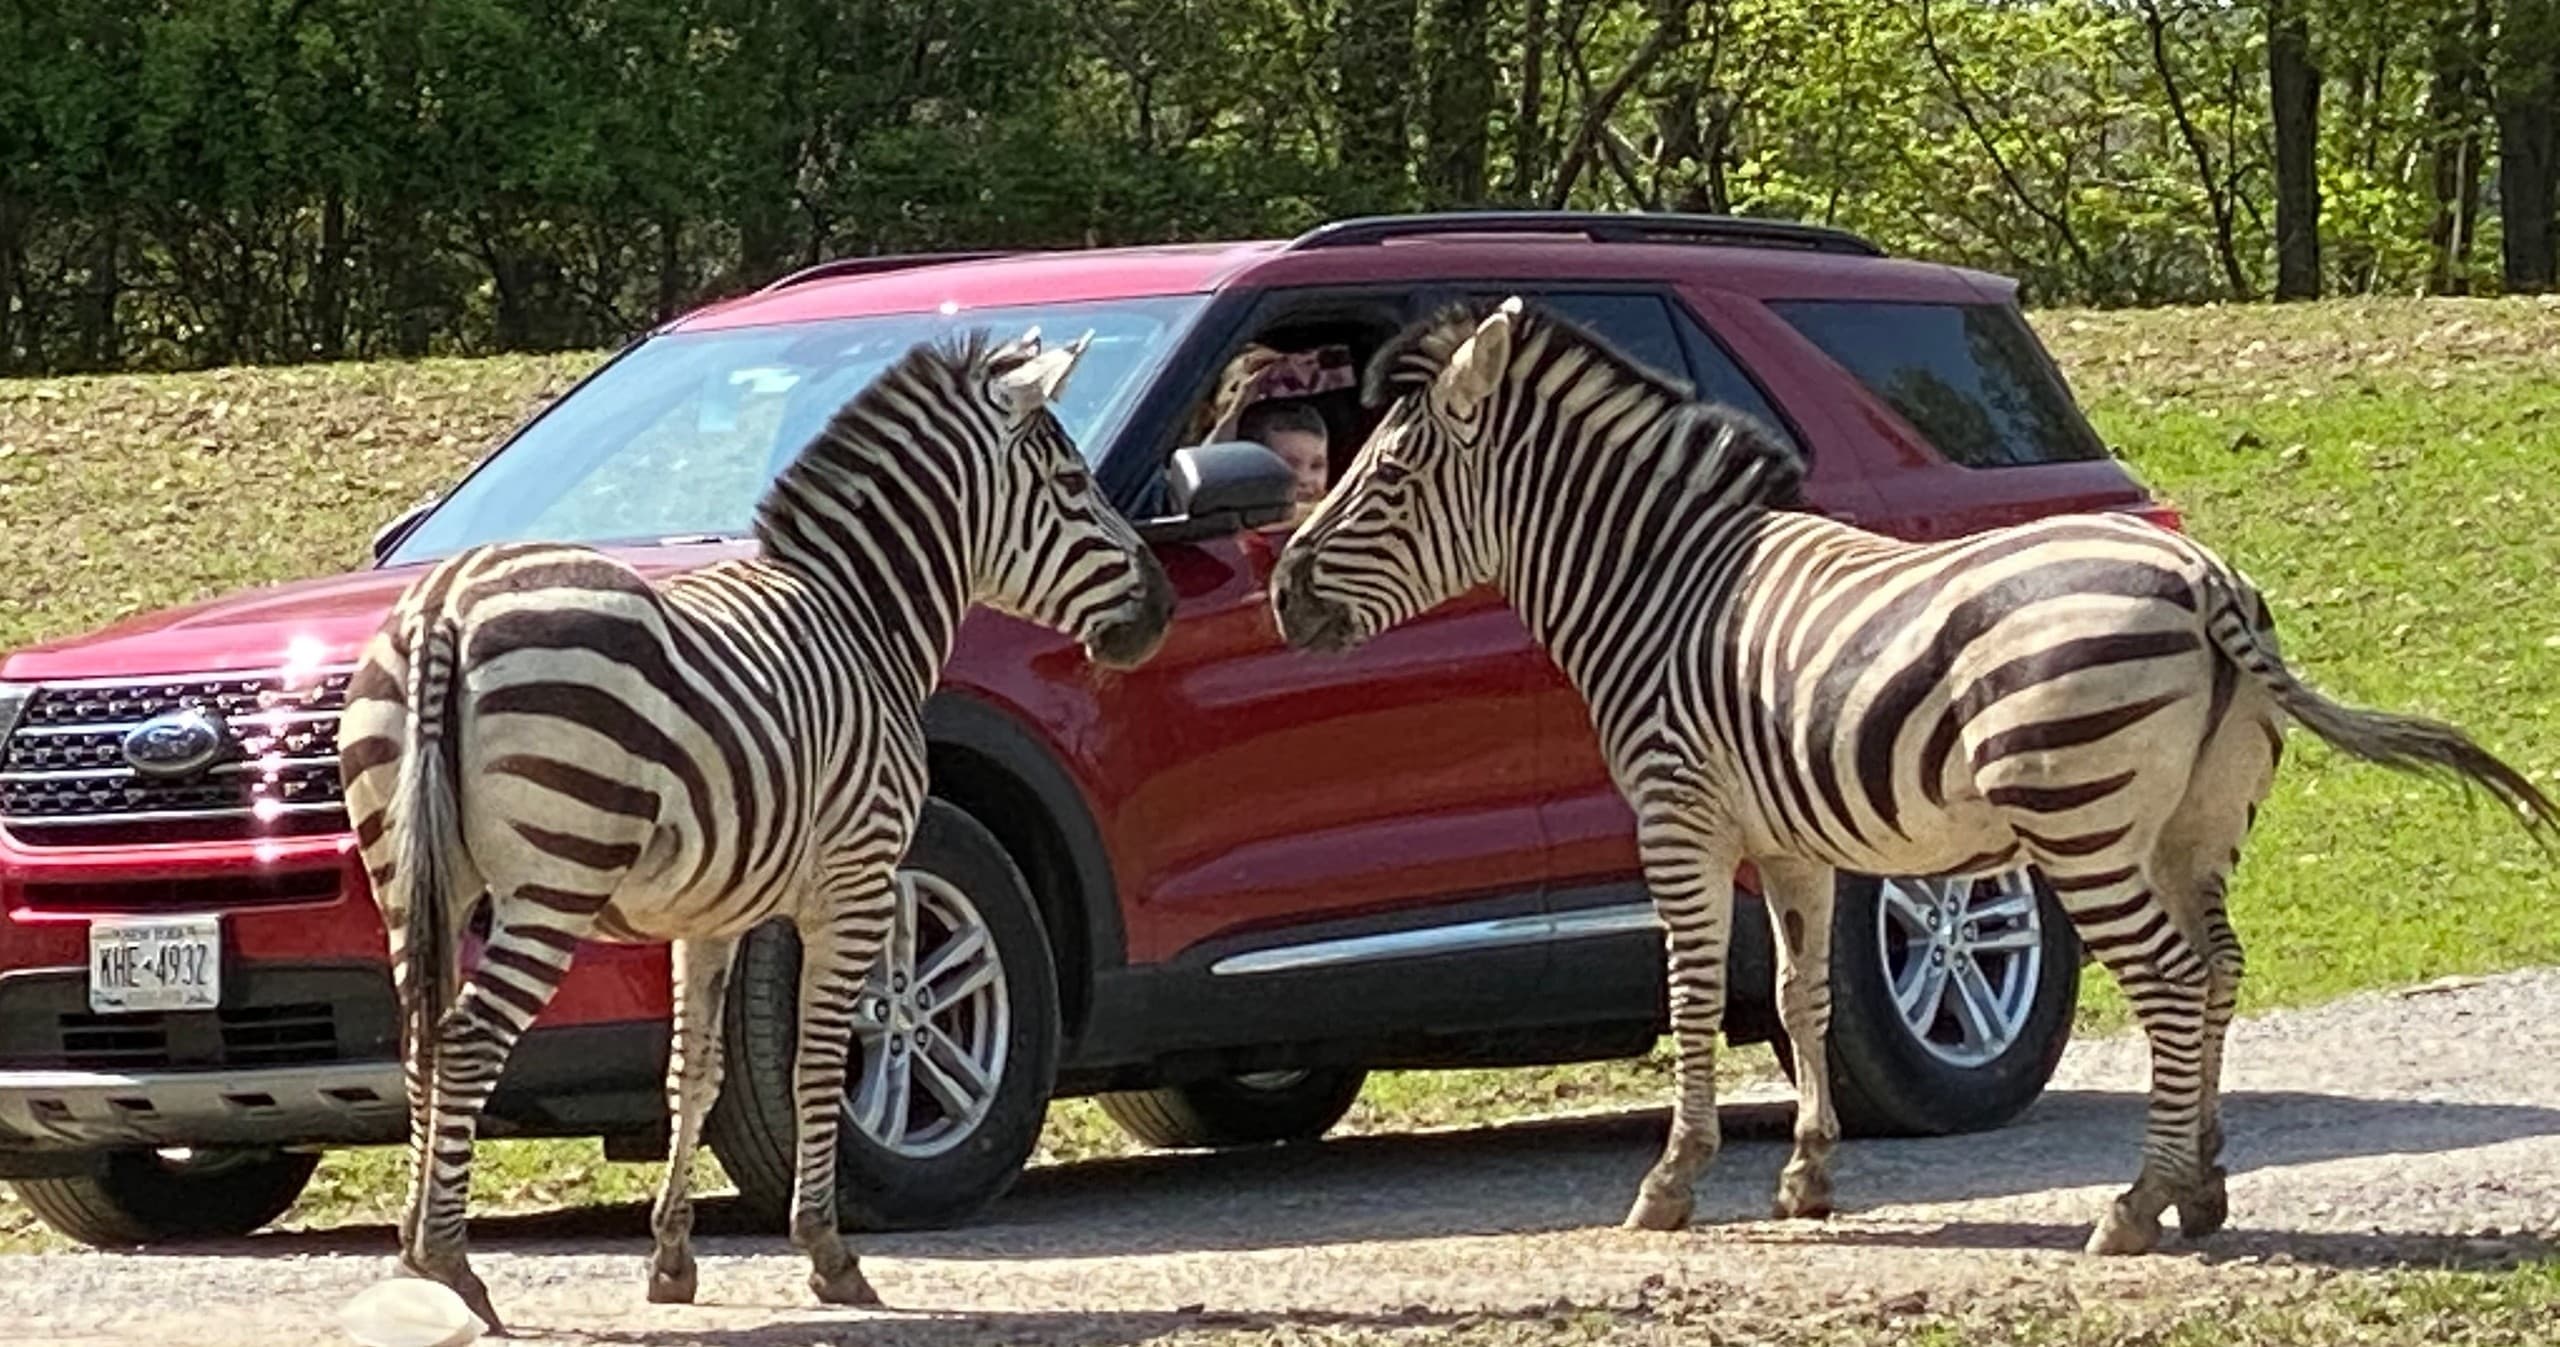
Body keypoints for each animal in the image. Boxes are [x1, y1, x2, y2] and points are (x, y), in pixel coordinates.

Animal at [337, 326, 1174, 1332]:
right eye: (1073, 482)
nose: (1161, 608)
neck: (866, 622)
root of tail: (445, 604)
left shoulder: (709, 912)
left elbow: (691, 1069)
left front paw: (670, 1259)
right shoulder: (856, 882)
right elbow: (818, 1062)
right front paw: (829, 1253)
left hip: (408, 876)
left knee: (420, 1042)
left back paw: (414, 1255)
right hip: (555, 881)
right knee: (465, 1042)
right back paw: (451, 1262)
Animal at [1271, 296, 2556, 1255]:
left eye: (1384, 480)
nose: (1281, 595)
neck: (1660, 583)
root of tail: (2203, 582)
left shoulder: (1677, 815)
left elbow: (1691, 997)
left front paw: (1671, 1185)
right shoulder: (1789, 840)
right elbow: (1803, 997)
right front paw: (1805, 1180)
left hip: (2080, 822)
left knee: (2174, 981)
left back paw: (2136, 1205)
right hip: (2193, 824)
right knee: (2223, 968)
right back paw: (2200, 1188)